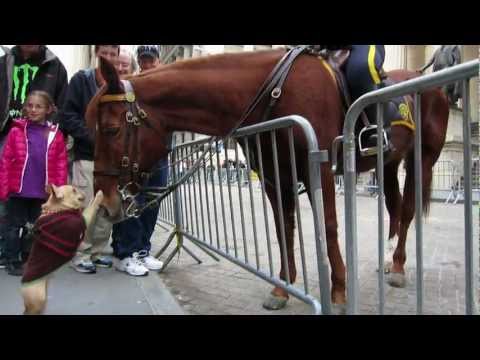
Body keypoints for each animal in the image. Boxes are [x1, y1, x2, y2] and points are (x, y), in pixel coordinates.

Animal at [20, 186, 104, 316]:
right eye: (74, 190)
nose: (83, 192)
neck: (59, 209)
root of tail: (22, 286)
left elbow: (90, 204)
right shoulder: (83, 220)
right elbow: (91, 208)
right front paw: (99, 196)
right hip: (38, 299)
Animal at [86, 48, 450, 312]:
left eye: (111, 129)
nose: (105, 200)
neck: (275, 91)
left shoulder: (318, 169)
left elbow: (329, 226)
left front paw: (339, 291)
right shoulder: (276, 177)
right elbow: (282, 228)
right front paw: (282, 287)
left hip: (422, 160)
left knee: (407, 212)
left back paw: (399, 268)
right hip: (388, 164)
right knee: (395, 208)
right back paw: (390, 262)